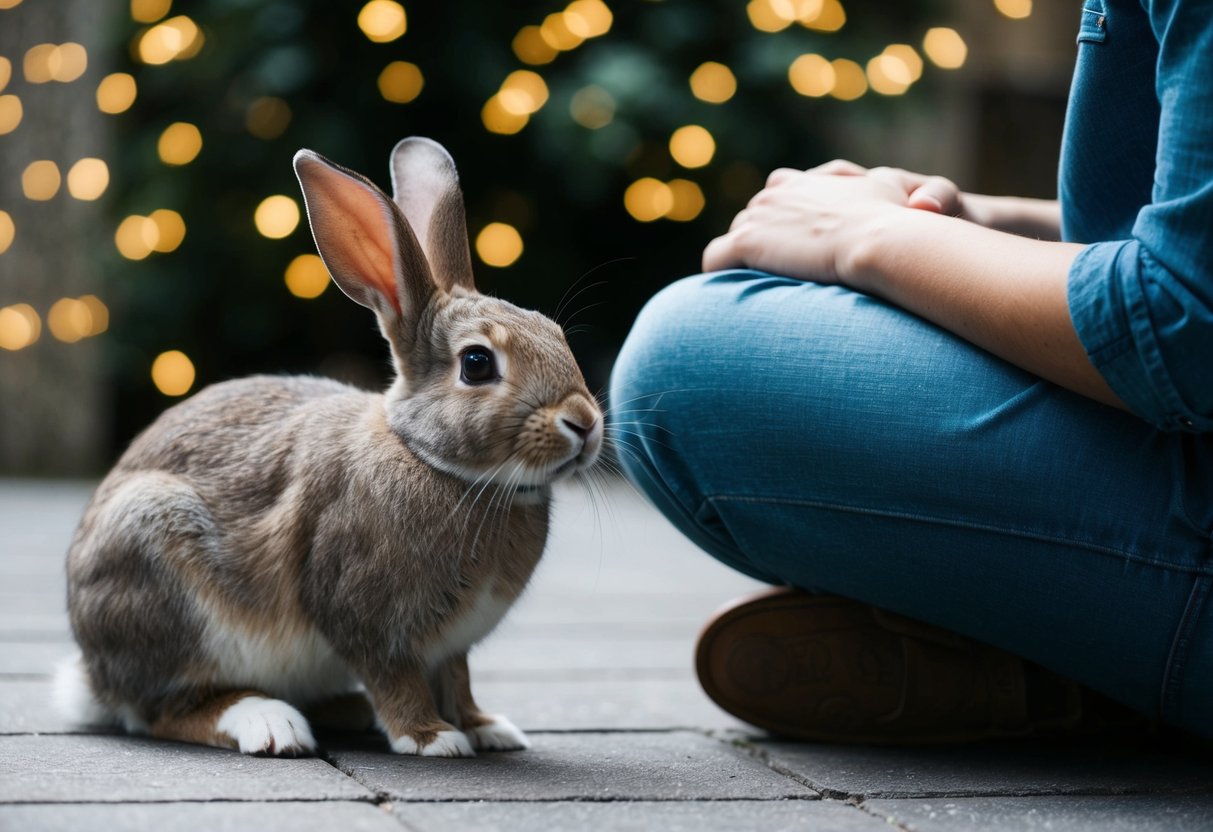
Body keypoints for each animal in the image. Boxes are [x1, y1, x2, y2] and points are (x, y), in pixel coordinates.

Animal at [54, 137, 603, 757]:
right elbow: (396, 679)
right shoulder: (367, 621)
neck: (432, 460)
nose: (585, 424)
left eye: (554, 334)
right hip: (159, 567)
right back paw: (271, 723)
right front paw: (433, 738)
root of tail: (94, 677)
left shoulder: (451, 646)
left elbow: (457, 679)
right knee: (163, 710)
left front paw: (486, 728)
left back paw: (348, 711)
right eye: (477, 363)